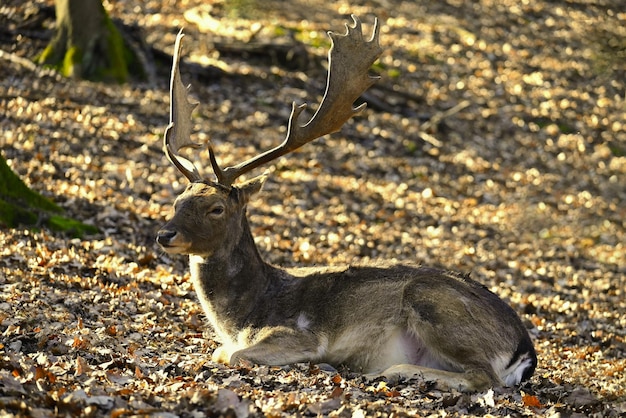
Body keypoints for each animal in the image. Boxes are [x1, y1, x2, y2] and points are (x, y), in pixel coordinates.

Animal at [154, 14, 532, 390]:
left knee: (484, 377)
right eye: (177, 201)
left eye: (216, 208)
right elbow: (221, 351)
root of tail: (524, 350)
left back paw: (390, 372)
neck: (243, 317)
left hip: (433, 300)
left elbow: (233, 355)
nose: (164, 235)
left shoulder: (301, 334)